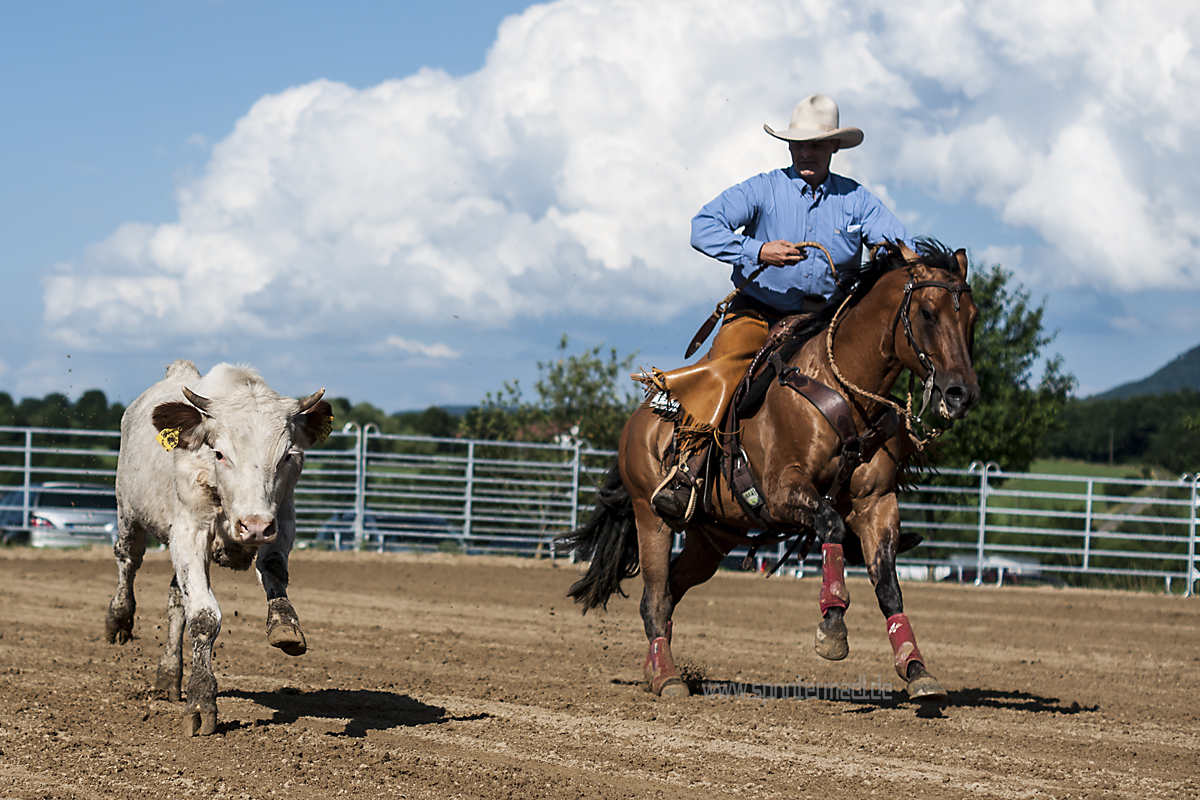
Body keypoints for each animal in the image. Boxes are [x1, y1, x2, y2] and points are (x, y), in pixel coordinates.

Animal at [556, 236, 979, 700]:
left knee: (671, 590)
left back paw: (655, 669)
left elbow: (888, 584)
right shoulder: (782, 491)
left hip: (712, 538)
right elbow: (831, 526)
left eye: (973, 318)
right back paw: (668, 678)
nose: (962, 394)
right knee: (654, 597)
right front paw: (833, 627)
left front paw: (916, 667)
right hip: (652, 517)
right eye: (927, 313)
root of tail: (639, 420)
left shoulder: (876, 503)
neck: (841, 388)